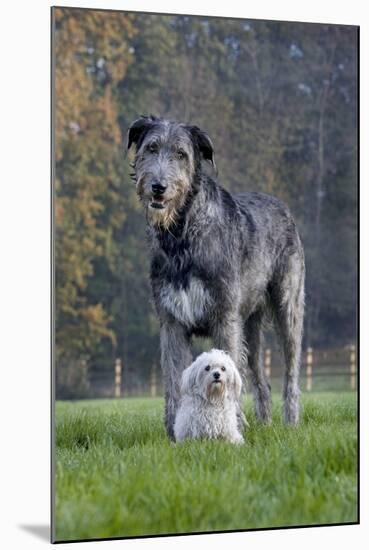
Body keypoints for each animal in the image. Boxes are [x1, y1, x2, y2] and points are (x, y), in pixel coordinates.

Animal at [126, 115, 304, 440]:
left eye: (181, 154)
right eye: (151, 148)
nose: (158, 187)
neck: (183, 234)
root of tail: (281, 204)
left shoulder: (224, 318)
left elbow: (230, 371)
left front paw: (231, 428)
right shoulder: (171, 322)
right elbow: (174, 379)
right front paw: (175, 433)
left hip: (288, 306)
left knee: (290, 372)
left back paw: (290, 422)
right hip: (250, 325)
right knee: (261, 378)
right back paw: (265, 423)